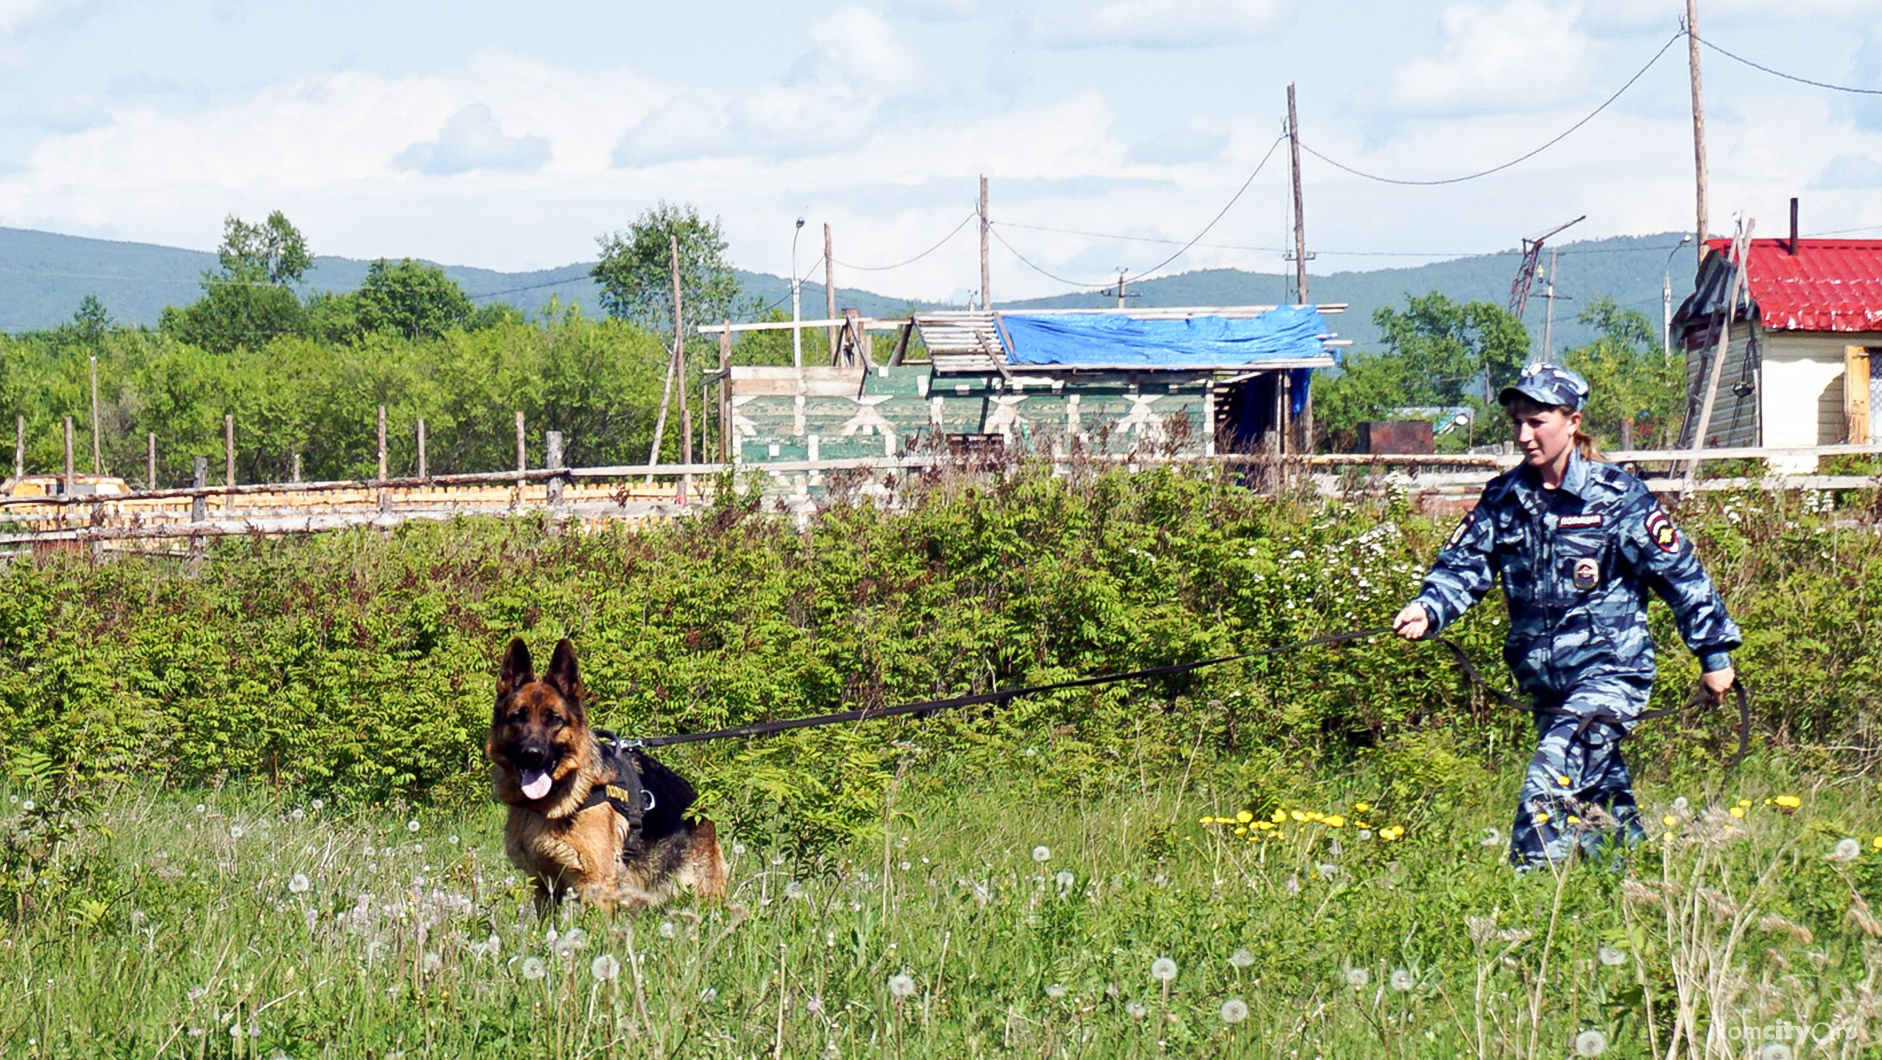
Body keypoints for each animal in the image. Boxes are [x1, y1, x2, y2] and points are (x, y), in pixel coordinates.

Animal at [485, 640, 726, 911]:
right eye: (518, 717)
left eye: (554, 719)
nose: (532, 754)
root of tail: (698, 806)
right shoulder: (544, 885)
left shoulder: (596, 885)